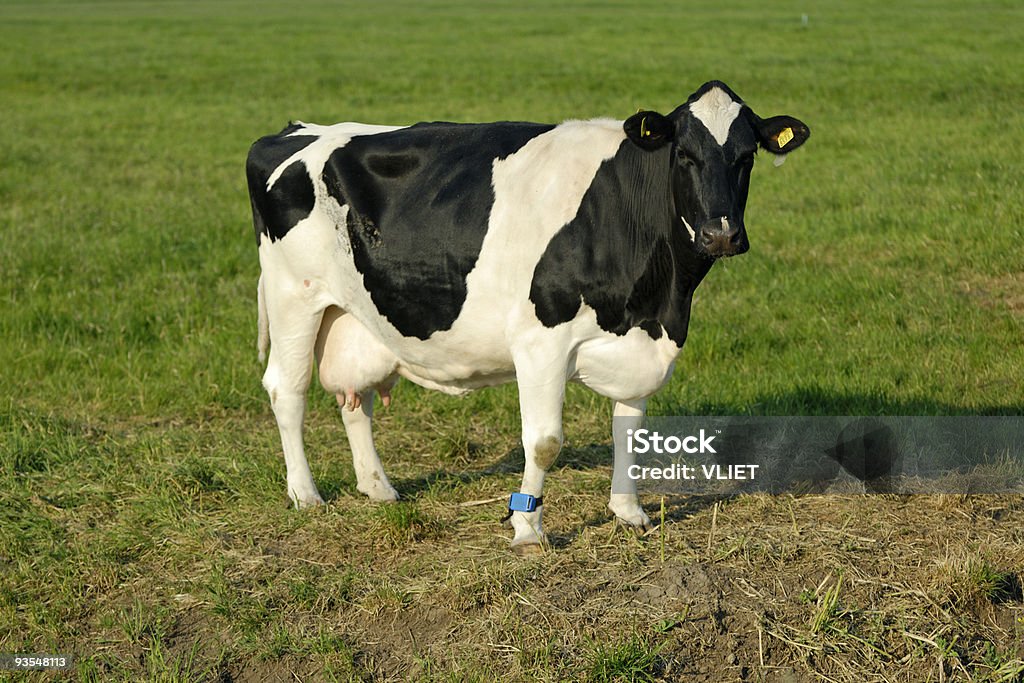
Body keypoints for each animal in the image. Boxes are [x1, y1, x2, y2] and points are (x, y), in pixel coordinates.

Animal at [245, 80, 806, 557]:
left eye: (747, 156)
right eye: (684, 154)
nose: (721, 234)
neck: (661, 299)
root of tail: (297, 129)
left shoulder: (641, 341)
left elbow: (630, 429)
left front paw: (629, 512)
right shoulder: (542, 342)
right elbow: (543, 443)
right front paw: (528, 529)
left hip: (354, 314)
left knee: (354, 398)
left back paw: (379, 487)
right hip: (295, 296)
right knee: (286, 390)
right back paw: (305, 494)